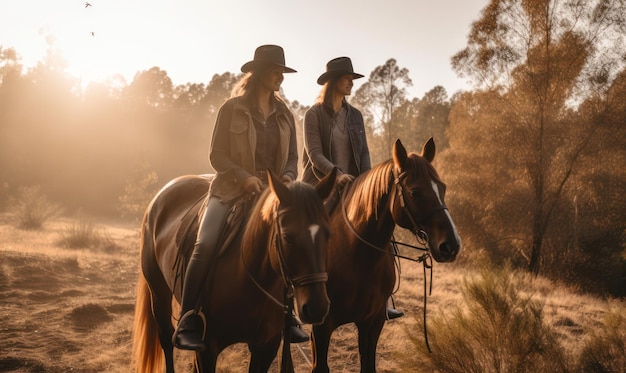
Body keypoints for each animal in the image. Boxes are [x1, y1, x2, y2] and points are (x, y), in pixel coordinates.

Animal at [132, 169, 336, 372]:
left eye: (328, 233)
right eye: (287, 236)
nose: (317, 307)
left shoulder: (266, 347)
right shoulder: (208, 348)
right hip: (158, 292)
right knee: (166, 339)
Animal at [310, 138, 460, 370]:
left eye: (442, 188)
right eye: (415, 192)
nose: (451, 245)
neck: (358, 258)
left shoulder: (372, 322)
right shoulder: (321, 327)